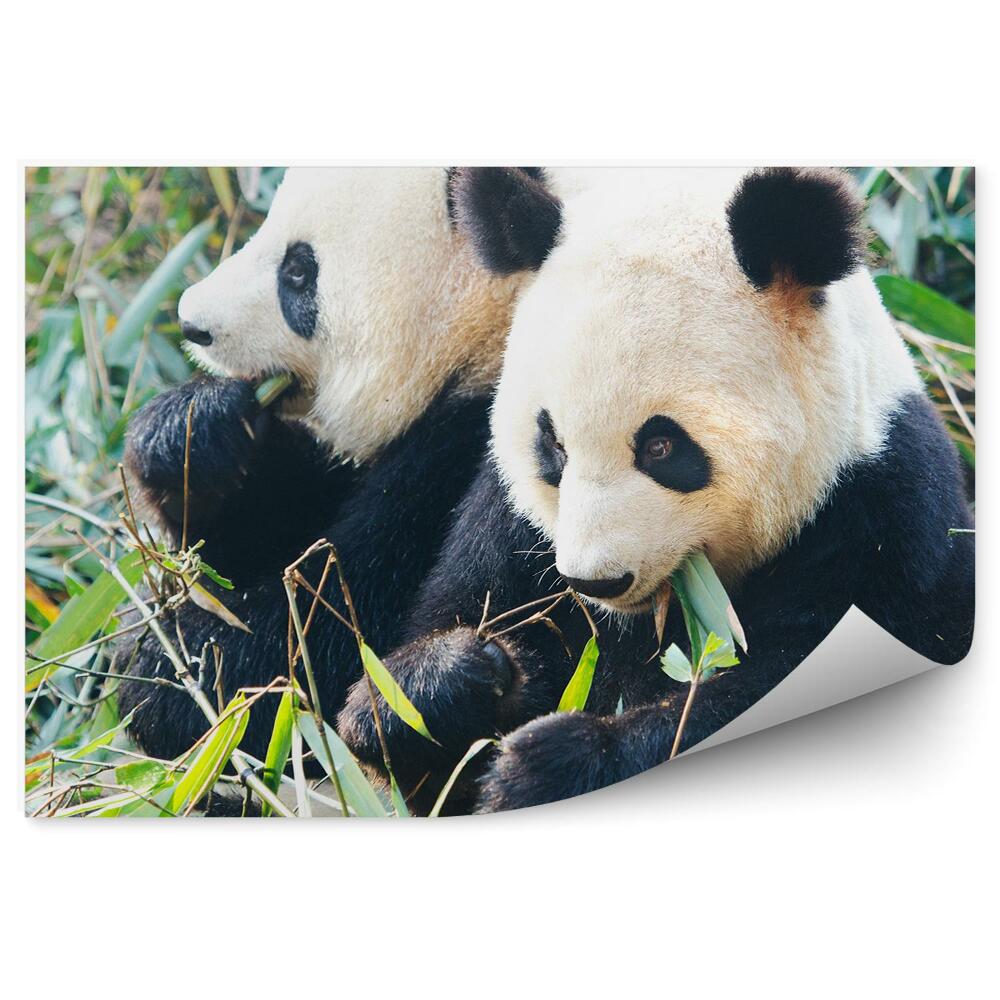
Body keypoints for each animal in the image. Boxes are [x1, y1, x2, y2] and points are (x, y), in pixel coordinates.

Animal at [119, 166, 559, 763]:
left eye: (299, 271)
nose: (192, 324)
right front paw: (191, 434)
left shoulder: (484, 460)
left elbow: (323, 636)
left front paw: (172, 665)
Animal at [337, 166, 975, 814]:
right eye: (554, 445)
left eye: (661, 447)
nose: (595, 581)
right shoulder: (509, 527)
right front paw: (437, 687)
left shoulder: (881, 521)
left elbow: (752, 687)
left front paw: (549, 764)